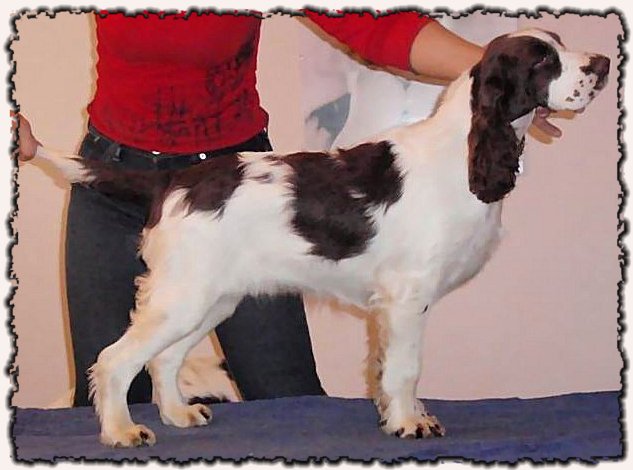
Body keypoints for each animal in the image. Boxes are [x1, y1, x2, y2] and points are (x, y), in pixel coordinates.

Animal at [29, 29, 609, 447]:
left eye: (560, 44)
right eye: (542, 61)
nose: (603, 64)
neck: (463, 153)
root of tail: (172, 181)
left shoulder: (393, 306)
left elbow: (390, 367)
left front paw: (403, 416)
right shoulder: (406, 296)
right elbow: (406, 367)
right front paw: (410, 424)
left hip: (211, 299)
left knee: (164, 359)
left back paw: (178, 415)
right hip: (183, 295)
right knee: (115, 359)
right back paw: (121, 431)